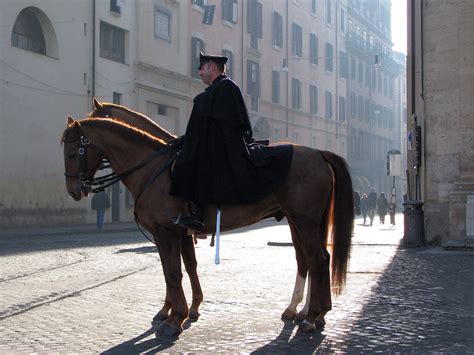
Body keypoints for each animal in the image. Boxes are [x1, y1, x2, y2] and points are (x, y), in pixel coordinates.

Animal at [62, 117, 352, 340]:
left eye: (71, 153)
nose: (74, 191)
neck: (153, 170)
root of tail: (319, 153)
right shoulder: (177, 234)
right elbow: (179, 270)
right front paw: (180, 312)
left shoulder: (166, 232)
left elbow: (173, 273)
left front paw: (175, 319)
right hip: (299, 220)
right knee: (310, 260)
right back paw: (312, 313)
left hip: (305, 220)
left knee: (317, 260)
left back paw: (311, 317)